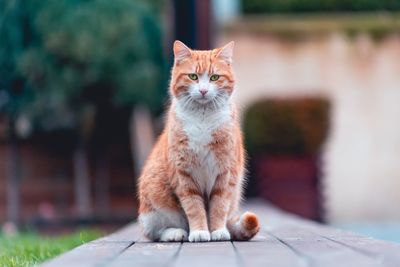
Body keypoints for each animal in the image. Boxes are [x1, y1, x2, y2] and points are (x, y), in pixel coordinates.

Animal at [139, 40, 260, 244]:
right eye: (193, 76)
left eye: (214, 77)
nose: (203, 91)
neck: (203, 119)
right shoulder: (184, 175)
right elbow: (194, 207)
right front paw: (200, 231)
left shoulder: (225, 173)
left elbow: (218, 206)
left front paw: (217, 231)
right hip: (154, 203)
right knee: (154, 232)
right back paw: (175, 233)